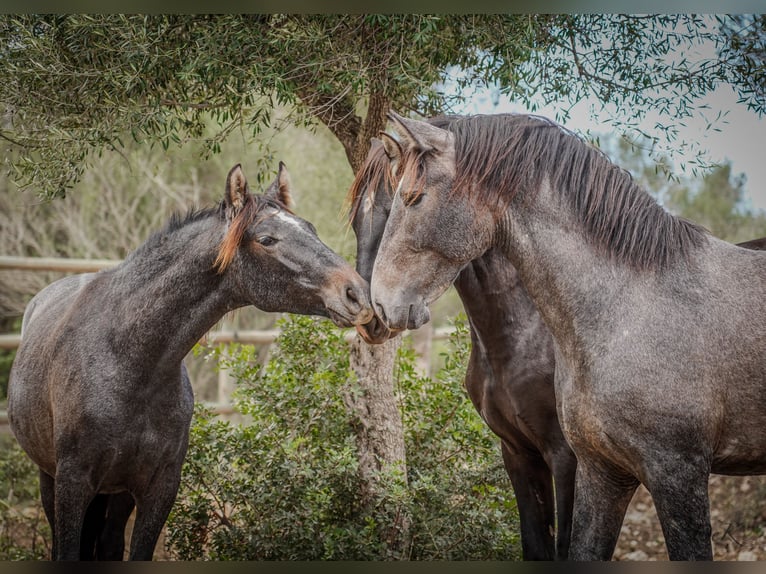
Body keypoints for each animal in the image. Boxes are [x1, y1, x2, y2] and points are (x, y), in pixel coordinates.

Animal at [8, 163, 376, 564]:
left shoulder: (160, 488)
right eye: (266, 239)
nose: (357, 294)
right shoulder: (72, 484)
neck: (129, 362)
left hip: (115, 495)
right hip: (51, 479)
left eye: (309, 228)